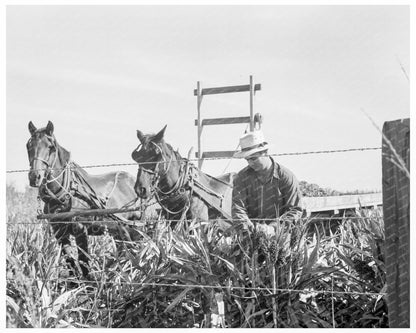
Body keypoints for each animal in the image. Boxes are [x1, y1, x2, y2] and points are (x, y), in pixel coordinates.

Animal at [27, 120, 143, 276]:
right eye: (29, 146)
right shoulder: (59, 232)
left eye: (50, 147)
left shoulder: (80, 229)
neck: (65, 194)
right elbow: (69, 261)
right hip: (119, 229)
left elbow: (84, 262)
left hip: (133, 225)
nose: (35, 177)